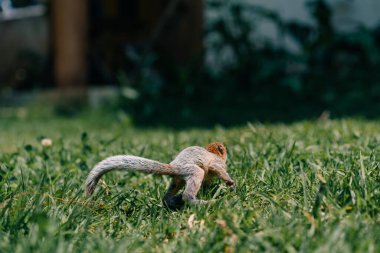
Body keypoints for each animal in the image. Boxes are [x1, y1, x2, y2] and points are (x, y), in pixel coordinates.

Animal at [85, 142, 235, 210]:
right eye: (223, 148)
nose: (226, 148)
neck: (211, 152)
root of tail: (173, 166)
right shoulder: (216, 163)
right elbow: (218, 169)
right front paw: (230, 183)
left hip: (177, 180)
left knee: (167, 195)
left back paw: (173, 201)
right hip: (193, 171)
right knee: (188, 193)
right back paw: (201, 202)